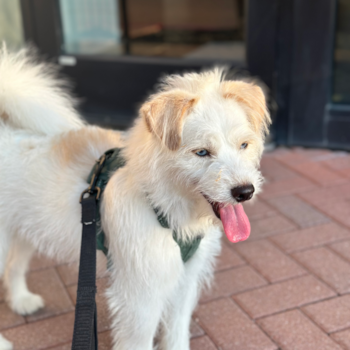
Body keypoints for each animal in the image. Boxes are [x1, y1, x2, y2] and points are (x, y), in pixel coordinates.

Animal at [0, 47, 270, 350]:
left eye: (244, 145)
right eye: (201, 152)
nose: (245, 192)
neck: (162, 206)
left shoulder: (184, 283)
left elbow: (176, 334)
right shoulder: (140, 298)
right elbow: (139, 340)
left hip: (24, 231)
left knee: (14, 267)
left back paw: (22, 301)